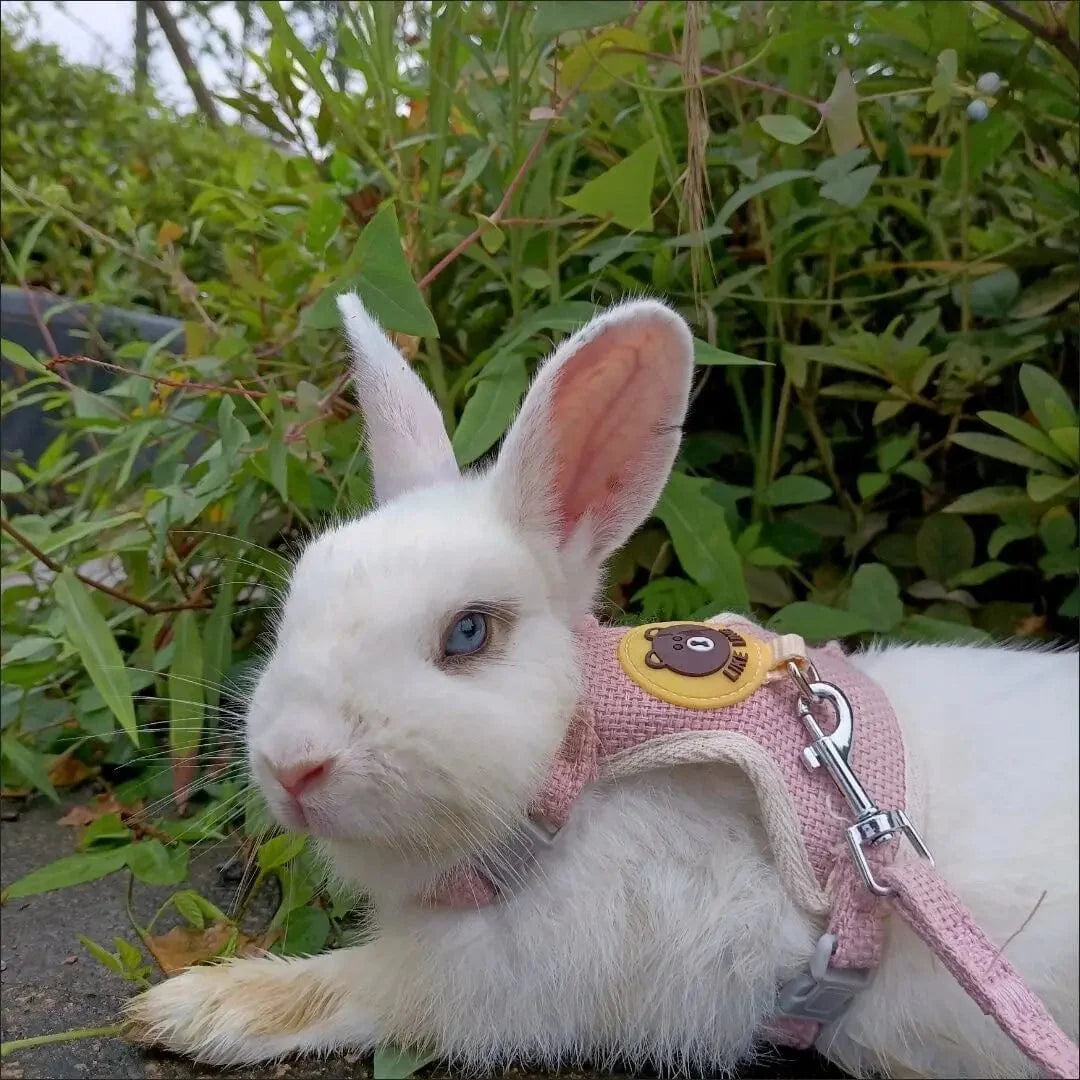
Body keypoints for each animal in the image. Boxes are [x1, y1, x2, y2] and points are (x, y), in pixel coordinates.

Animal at [128, 297, 1079, 1078]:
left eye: (469, 633)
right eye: (297, 600)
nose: (293, 765)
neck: (582, 760)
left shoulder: (510, 979)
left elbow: (353, 987)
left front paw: (193, 1009)